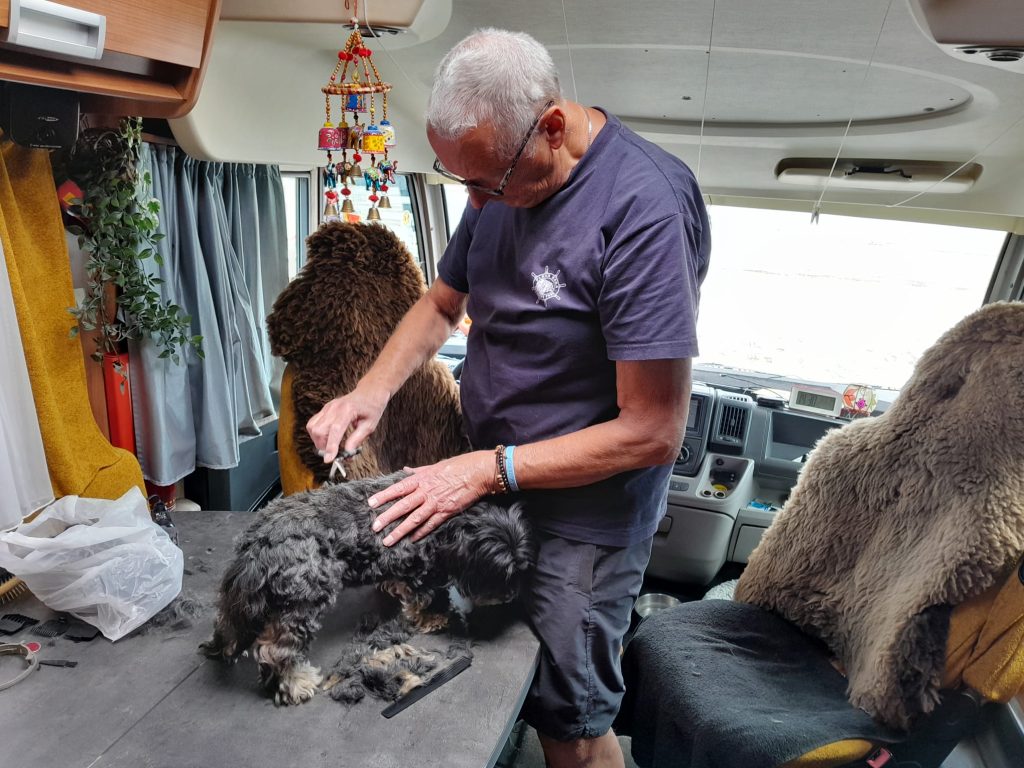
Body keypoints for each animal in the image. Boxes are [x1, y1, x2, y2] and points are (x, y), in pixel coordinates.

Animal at [200, 472, 535, 705]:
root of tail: (259, 543)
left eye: (520, 568)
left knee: (228, 621)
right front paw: (434, 617)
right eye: (500, 573)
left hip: (244, 600)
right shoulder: (421, 567)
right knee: (276, 651)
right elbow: (425, 598)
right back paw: (296, 684)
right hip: (304, 600)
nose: (510, 596)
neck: (455, 524)